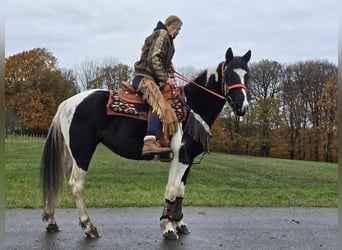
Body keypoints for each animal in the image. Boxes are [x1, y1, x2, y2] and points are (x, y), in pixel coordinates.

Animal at [40, 47, 251, 240]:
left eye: (247, 76)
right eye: (230, 74)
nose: (242, 106)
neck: (191, 106)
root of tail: (68, 103)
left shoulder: (188, 159)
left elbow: (180, 191)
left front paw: (180, 223)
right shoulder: (181, 157)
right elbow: (172, 190)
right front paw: (167, 227)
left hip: (70, 154)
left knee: (57, 179)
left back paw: (51, 222)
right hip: (82, 152)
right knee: (76, 184)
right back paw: (89, 227)